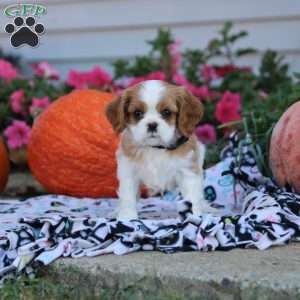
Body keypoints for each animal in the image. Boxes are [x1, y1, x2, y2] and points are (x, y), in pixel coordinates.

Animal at [105, 79, 211, 219]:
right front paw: (127, 217)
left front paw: (193, 216)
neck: (156, 148)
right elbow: (128, 196)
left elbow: (192, 198)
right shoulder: (129, 172)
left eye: (166, 112)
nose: (152, 124)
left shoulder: (188, 171)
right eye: (137, 113)